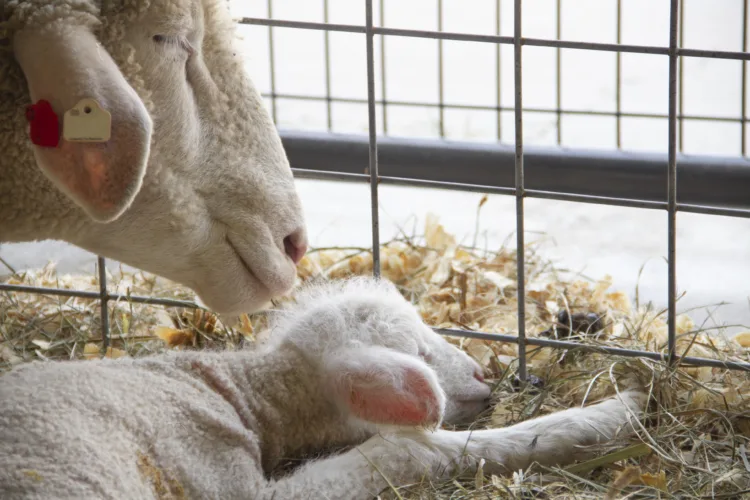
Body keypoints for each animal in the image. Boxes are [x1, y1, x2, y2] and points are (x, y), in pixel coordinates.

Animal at [0, 277, 648, 499]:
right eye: (417, 355)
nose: (482, 374)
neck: (241, 391)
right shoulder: (221, 476)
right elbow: (408, 451)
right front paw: (614, 412)